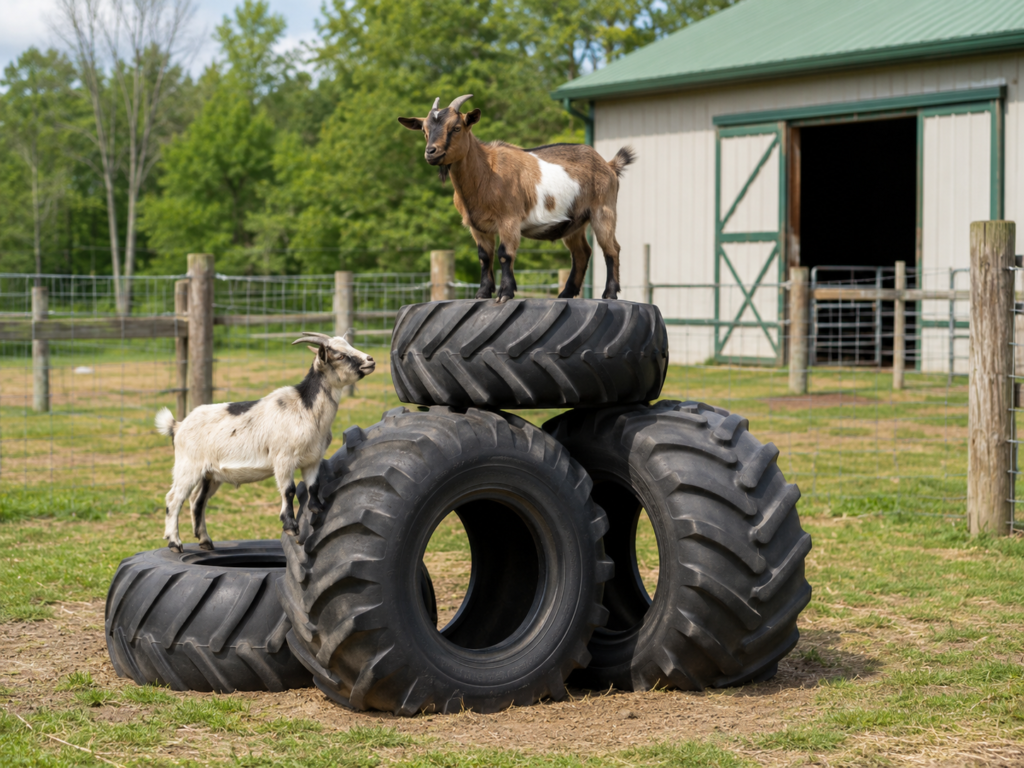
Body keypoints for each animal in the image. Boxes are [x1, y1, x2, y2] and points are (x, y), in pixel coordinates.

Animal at [153, 333, 375, 552]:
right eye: (339, 356)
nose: (370, 360)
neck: (306, 409)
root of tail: (177, 426)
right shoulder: (283, 458)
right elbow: (288, 490)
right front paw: (291, 526)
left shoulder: (313, 459)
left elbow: (313, 486)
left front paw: (317, 509)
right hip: (188, 466)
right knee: (174, 499)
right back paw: (175, 543)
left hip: (210, 474)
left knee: (197, 501)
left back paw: (205, 541)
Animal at [399, 94, 635, 303]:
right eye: (424, 130)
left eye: (456, 128)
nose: (431, 152)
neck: (486, 171)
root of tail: (609, 165)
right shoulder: (477, 226)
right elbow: (484, 256)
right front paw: (482, 294)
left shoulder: (508, 219)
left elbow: (505, 254)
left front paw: (505, 293)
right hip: (574, 223)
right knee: (581, 253)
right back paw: (566, 293)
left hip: (603, 209)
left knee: (611, 248)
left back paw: (609, 294)